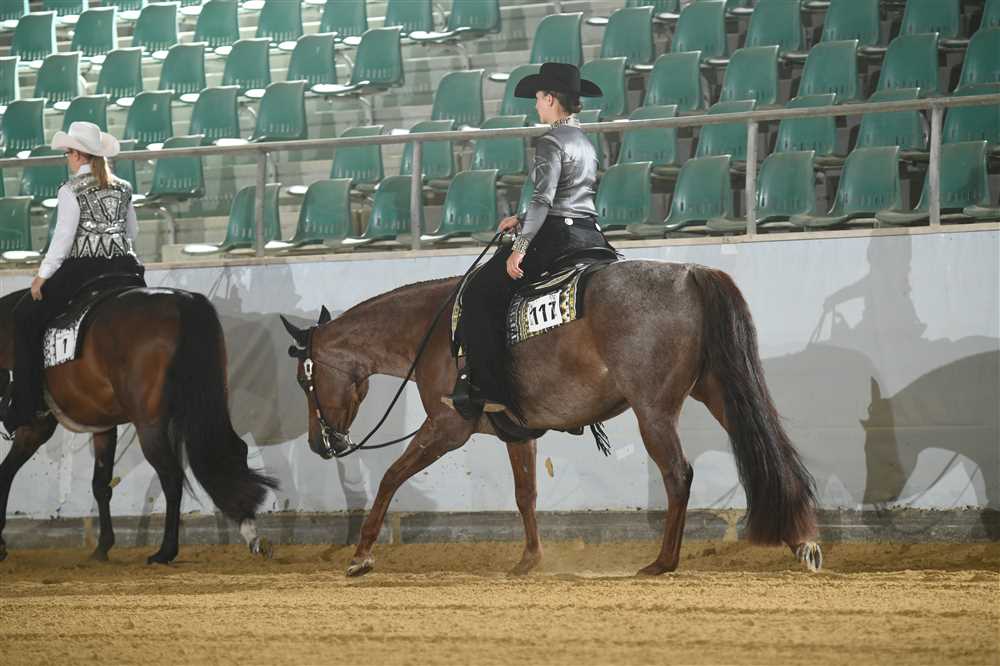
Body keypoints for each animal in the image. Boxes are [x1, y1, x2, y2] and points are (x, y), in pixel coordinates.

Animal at [0, 287, 277, 564]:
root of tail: (183, 302)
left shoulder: (36, 426)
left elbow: (6, 471)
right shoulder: (103, 426)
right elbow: (100, 485)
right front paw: (103, 547)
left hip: (150, 425)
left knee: (172, 476)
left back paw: (165, 551)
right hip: (208, 405)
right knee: (232, 453)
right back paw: (251, 534)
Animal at [280, 259, 823, 577]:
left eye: (306, 381)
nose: (318, 444)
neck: (431, 331)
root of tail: (689, 273)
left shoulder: (447, 427)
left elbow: (391, 476)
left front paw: (361, 555)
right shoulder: (515, 432)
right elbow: (526, 495)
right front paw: (528, 560)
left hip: (654, 410)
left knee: (678, 475)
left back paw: (663, 562)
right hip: (718, 391)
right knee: (771, 450)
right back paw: (803, 542)